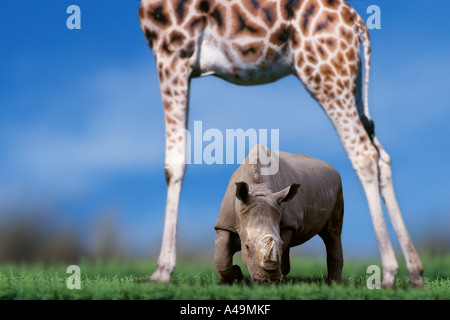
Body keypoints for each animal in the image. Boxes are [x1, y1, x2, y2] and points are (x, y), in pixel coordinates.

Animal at [136, 0, 422, 286]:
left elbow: (173, 163)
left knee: (363, 152)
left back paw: (388, 273)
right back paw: (415, 273)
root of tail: (358, 22)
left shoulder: (173, 50)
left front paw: (161, 271)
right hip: (351, 78)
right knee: (381, 154)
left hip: (326, 72)